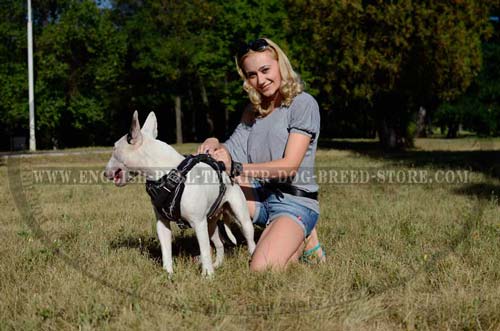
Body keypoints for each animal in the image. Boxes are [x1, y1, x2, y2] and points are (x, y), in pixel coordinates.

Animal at [104, 112, 256, 278]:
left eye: (114, 149)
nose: (105, 173)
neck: (167, 175)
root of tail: (225, 170)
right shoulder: (162, 224)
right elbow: (166, 251)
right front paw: (168, 273)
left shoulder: (198, 223)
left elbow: (204, 251)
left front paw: (207, 276)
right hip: (211, 222)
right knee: (219, 243)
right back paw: (217, 264)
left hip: (240, 216)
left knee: (249, 238)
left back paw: (251, 259)